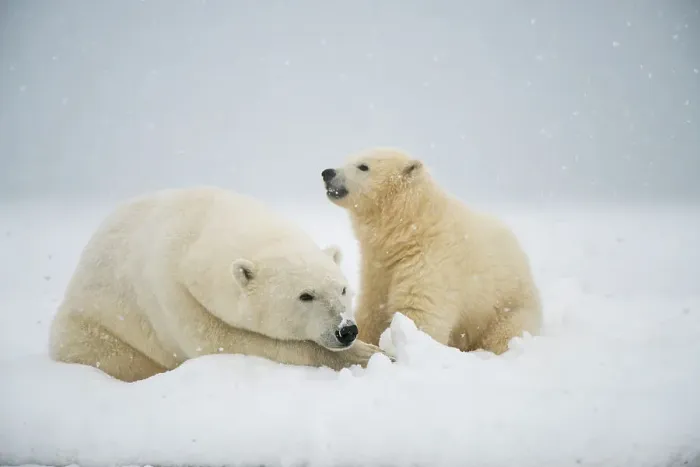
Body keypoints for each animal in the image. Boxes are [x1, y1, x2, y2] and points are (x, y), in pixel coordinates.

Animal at [48, 186, 390, 382]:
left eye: (343, 289)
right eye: (305, 296)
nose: (347, 330)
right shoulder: (175, 295)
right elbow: (228, 342)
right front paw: (370, 355)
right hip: (97, 337)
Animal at [320, 147, 543, 355]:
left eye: (363, 166)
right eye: (347, 159)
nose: (327, 173)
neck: (411, 228)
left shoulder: (431, 262)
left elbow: (419, 315)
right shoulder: (377, 268)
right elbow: (373, 308)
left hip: (509, 308)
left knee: (504, 334)